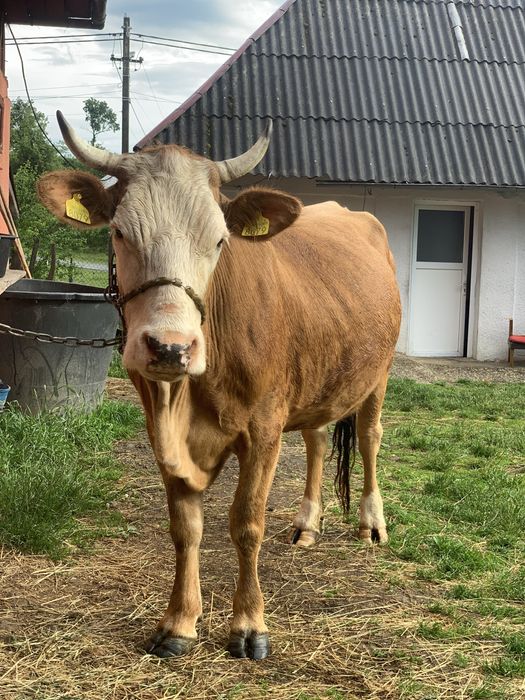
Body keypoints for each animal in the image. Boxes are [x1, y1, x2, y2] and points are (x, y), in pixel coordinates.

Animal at [38, 112, 401, 660]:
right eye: (119, 232)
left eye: (219, 241)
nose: (170, 347)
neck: (190, 397)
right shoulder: (160, 429)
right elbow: (185, 528)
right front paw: (179, 622)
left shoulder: (264, 428)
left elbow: (246, 523)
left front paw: (249, 625)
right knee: (317, 439)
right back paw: (307, 524)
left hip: (378, 373)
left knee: (369, 437)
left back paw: (371, 522)